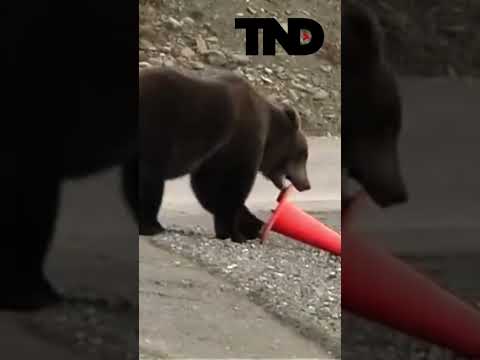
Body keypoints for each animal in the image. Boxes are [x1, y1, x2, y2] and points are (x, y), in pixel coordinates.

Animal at [139, 66, 312, 243]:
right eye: (303, 155)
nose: (306, 184)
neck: (269, 131)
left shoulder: (215, 153)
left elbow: (208, 187)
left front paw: (251, 225)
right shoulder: (241, 140)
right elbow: (231, 185)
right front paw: (237, 233)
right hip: (157, 130)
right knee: (151, 179)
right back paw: (151, 226)